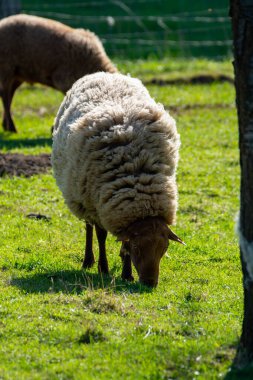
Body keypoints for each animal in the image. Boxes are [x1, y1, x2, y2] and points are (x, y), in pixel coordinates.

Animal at [52, 71, 184, 286]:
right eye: (138, 247)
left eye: (164, 248)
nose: (150, 283)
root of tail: (102, 73)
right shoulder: (97, 202)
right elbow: (101, 235)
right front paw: (104, 268)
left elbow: (123, 244)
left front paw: (126, 273)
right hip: (81, 193)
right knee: (88, 227)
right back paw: (88, 260)